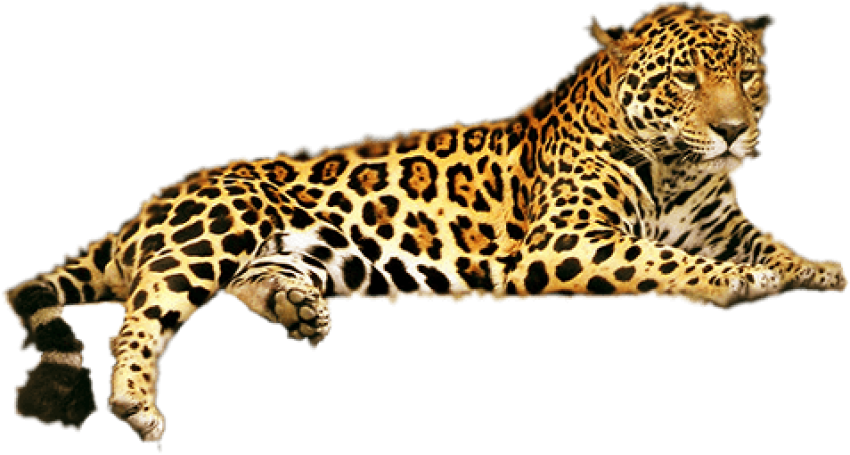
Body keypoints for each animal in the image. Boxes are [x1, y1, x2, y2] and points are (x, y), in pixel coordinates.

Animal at [5, 2, 846, 445]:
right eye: (685, 79)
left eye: (749, 76)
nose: (735, 132)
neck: (676, 168)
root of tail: (145, 206)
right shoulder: (563, 243)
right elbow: (664, 261)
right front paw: (738, 282)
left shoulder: (718, 218)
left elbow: (767, 238)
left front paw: (816, 266)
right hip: (217, 225)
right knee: (141, 311)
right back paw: (135, 402)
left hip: (277, 249)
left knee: (247, 282)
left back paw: (299, 310)